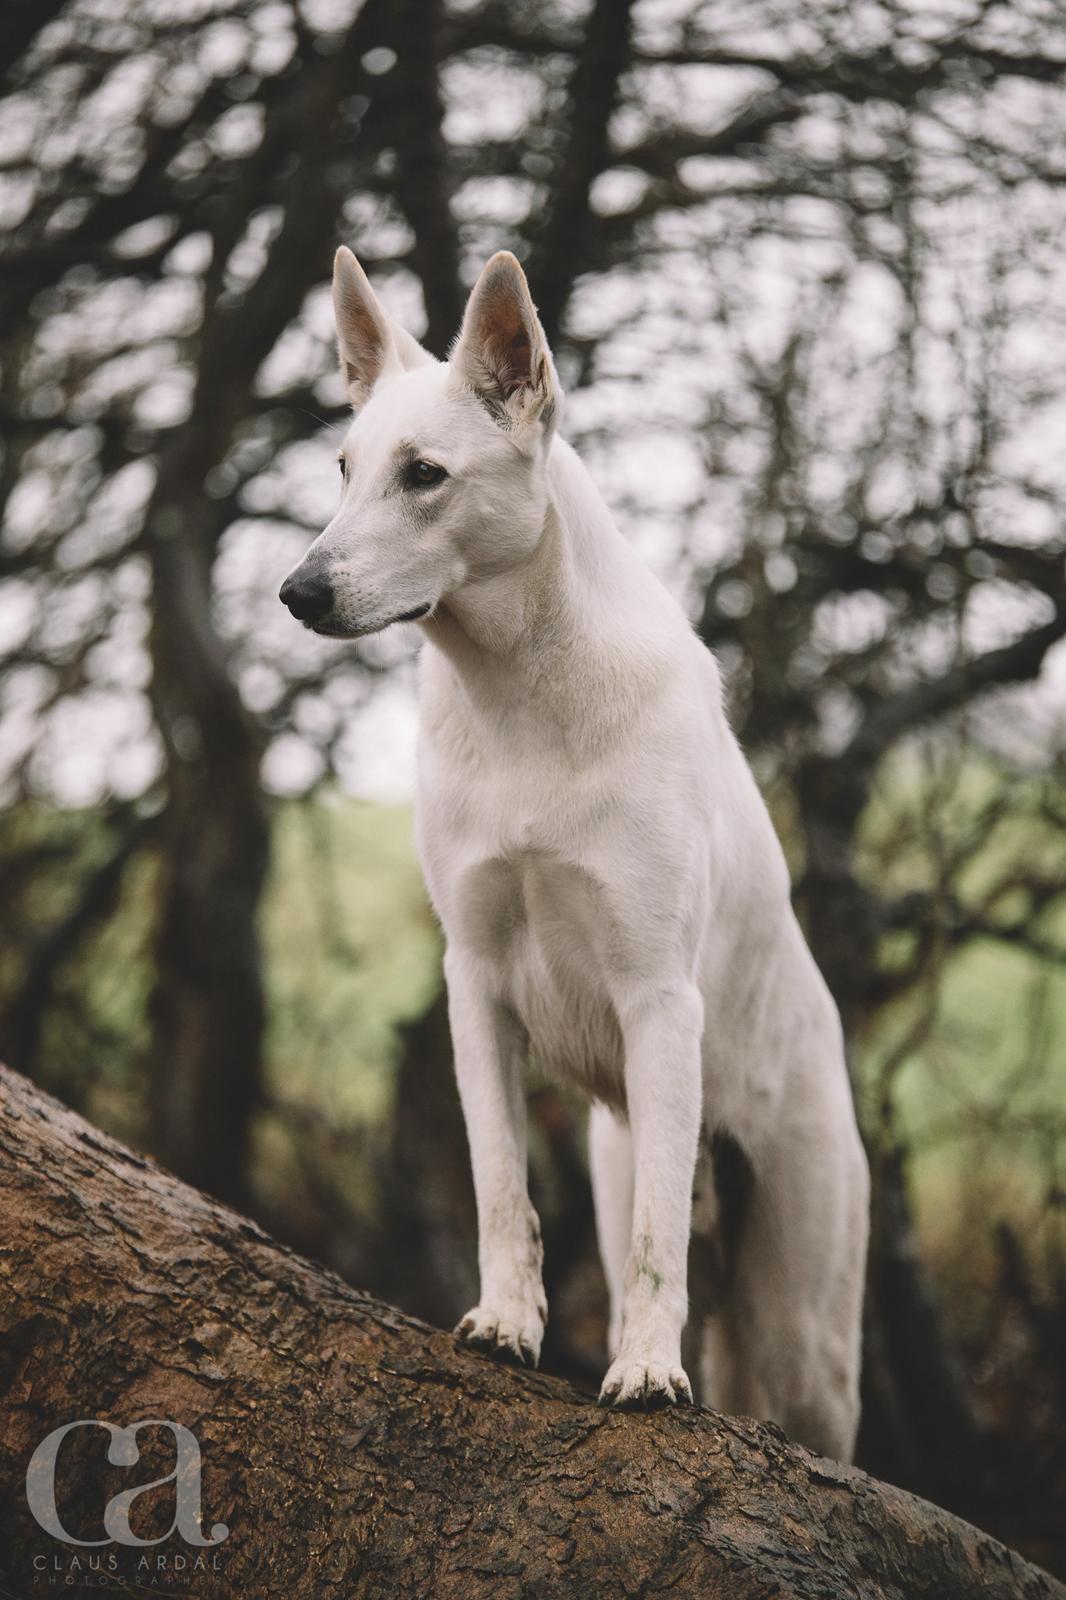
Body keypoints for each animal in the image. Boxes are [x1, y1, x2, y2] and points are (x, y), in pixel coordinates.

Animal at [278, 246, 870, 1465]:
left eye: (424, 475)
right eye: (345, 469)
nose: (296, 593)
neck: (522, 704)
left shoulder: (656, 996)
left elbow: (649, 1251)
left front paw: (643, 1372)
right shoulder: (474, 982)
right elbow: (503, 1184)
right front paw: (506, 1324)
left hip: (808, 1322)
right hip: (630, 1156)